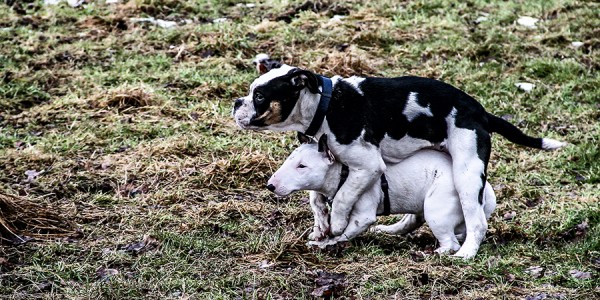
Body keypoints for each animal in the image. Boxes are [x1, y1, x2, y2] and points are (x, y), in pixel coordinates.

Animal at [268, 135, 496, 254]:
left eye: (302, 166)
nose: (270, 185)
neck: (343, 171)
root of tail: (485, 193)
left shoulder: (362, 216)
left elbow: (344, 232)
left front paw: (326, 243)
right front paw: (319, 232)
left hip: (437, 211)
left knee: (451, 243)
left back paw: (435, 253)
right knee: (410, 222)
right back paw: (386, 230)